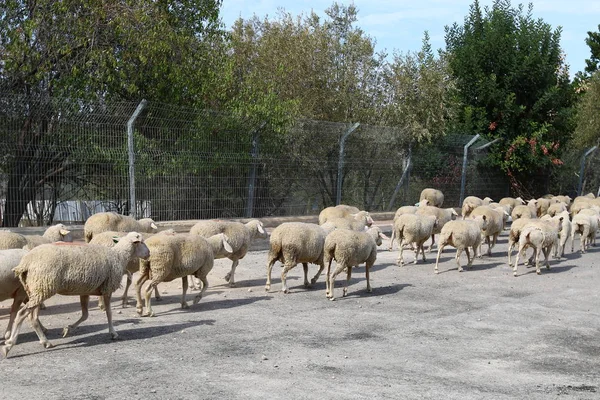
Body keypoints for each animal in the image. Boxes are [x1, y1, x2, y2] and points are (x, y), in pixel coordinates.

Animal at [1, 231, 149, 356]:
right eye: (141, 242)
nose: (149, 254)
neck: (118, 256)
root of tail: (26, 262)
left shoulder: (85, 291)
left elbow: (85, 315)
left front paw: (68, 329)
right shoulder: (107, 288)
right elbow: (109, 312)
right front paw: (113, 333)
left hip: (36, 290)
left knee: (32, 317)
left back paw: (43, 342)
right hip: (42, 288)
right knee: (22, 314)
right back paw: (10, 345)